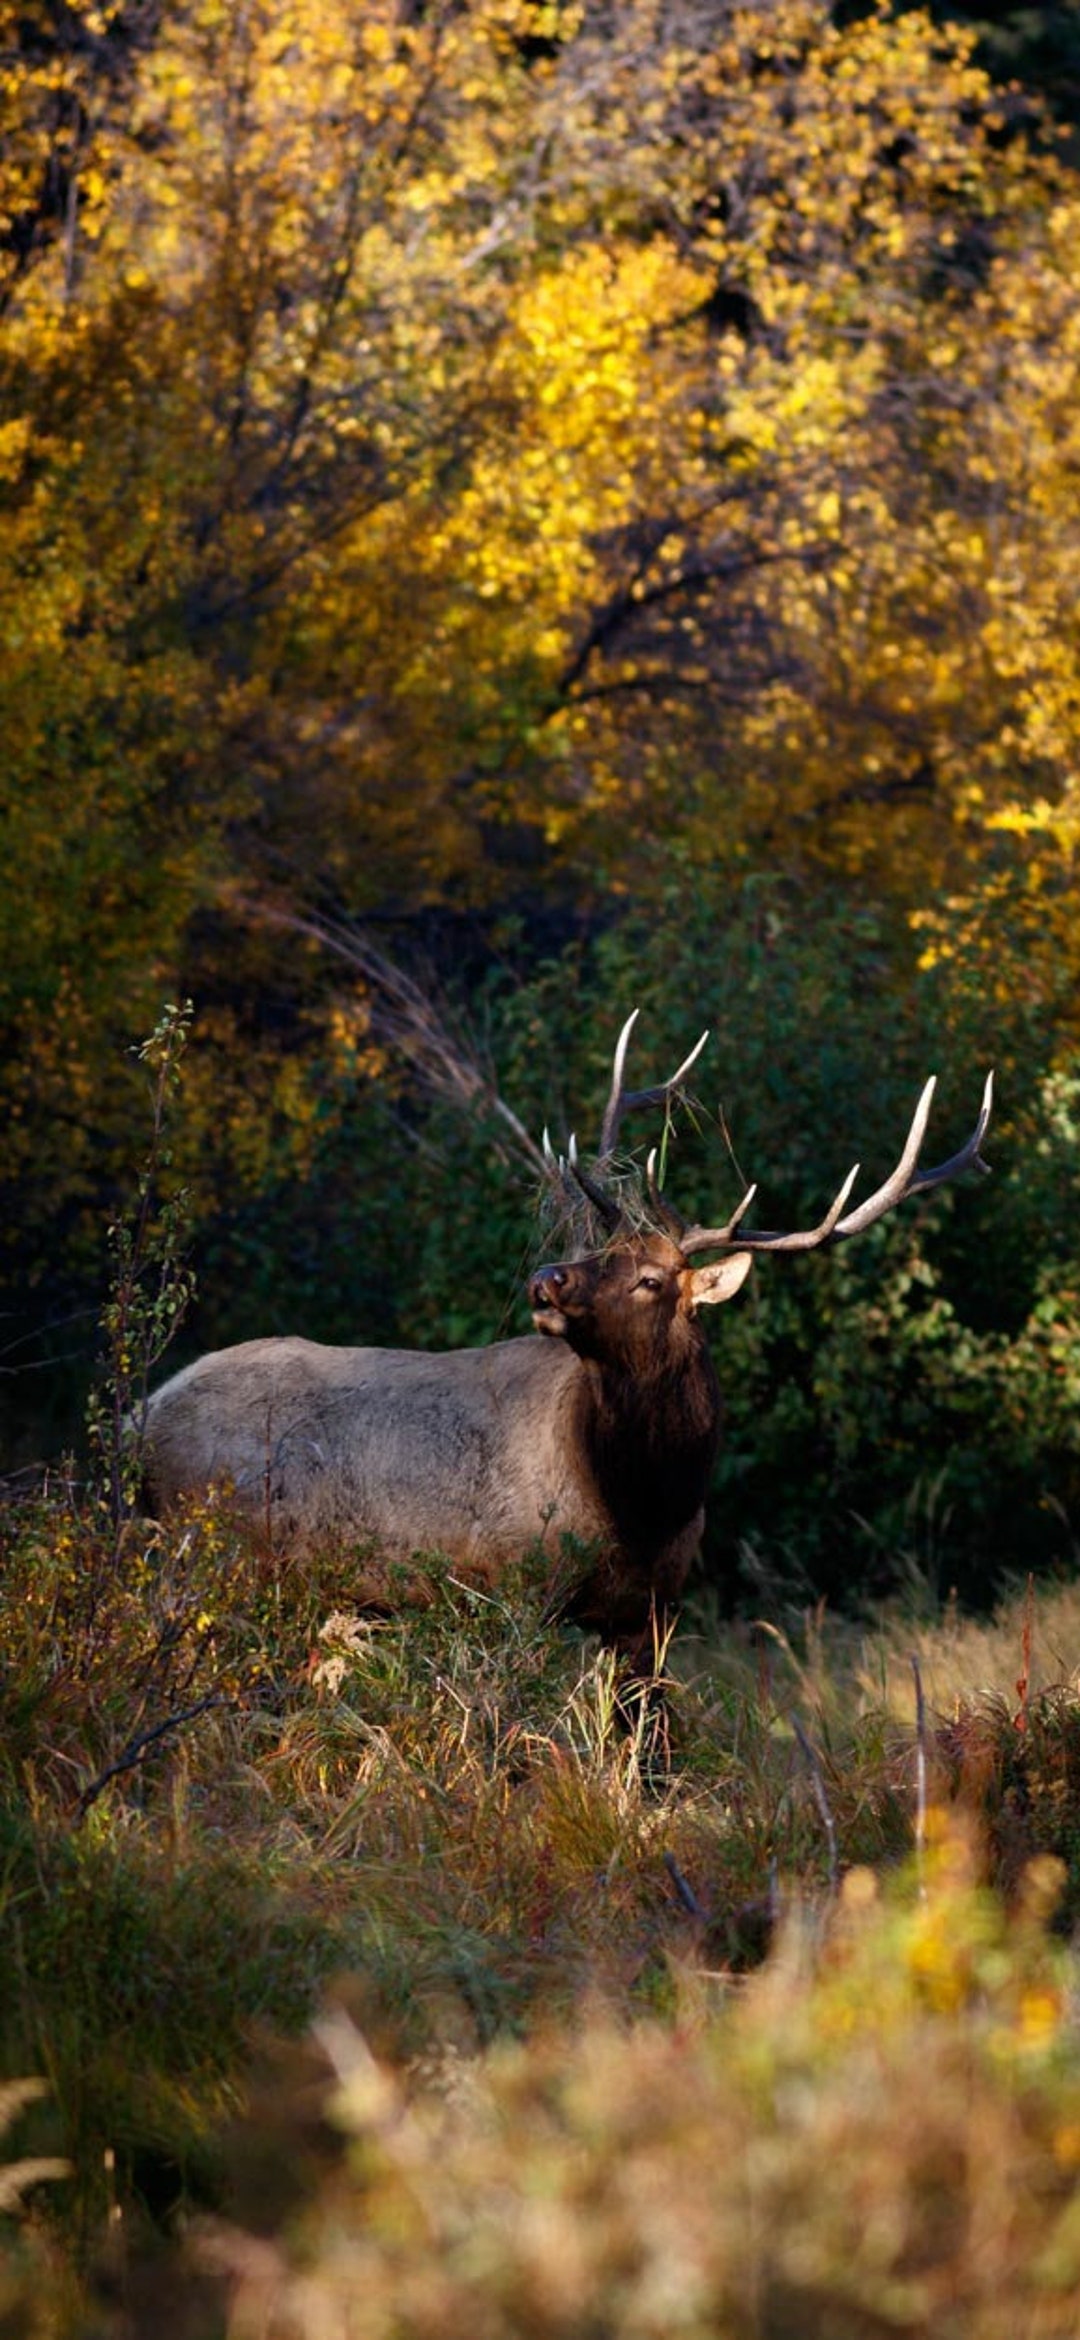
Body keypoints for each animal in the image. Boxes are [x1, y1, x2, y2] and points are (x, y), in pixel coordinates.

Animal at [141, 1016, 992, 1663]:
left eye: (649, 1279)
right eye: (598, 1249)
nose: (546, 1279)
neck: (644, 1504)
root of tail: (137, 1417)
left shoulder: (651, 1610)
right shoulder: (514, 1584)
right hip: (215, 1559)